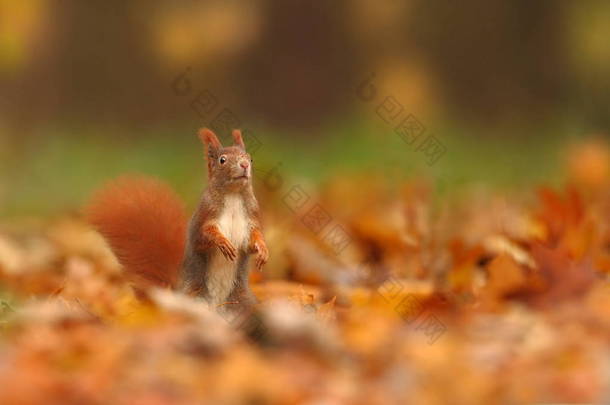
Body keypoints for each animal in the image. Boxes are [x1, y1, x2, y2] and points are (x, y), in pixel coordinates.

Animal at [86, 128, 268, 310]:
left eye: (250, 158)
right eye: (222, 160)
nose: (245, 165)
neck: (233, 195)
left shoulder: (250, 219)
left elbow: (251, 241)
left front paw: (263, 250)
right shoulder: (203, 217)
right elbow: (203, 237)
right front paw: (222, 241)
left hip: (242, 303)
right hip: (195, 299)